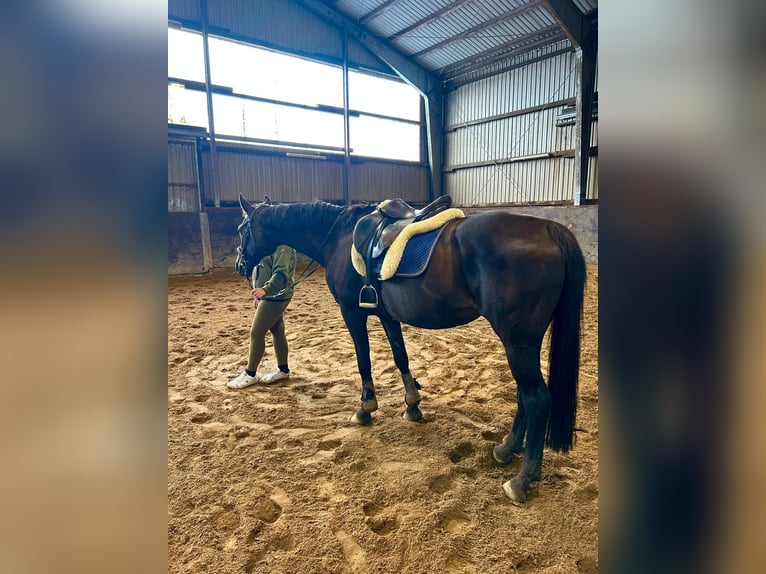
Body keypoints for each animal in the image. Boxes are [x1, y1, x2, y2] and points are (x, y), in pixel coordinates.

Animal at [237, 196, 584, 502]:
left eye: (242, 229)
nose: (241, 265)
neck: (338, 236)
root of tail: (549, 229)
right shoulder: (387, 315)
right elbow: (400, 356)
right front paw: (413, 405)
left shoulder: (352, 313)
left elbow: (363, 360)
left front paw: (365, 408)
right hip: (525, 343)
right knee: (524, 395)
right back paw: (506, 450)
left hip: (517, 342)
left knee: (536, 398)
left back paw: (523, 479)